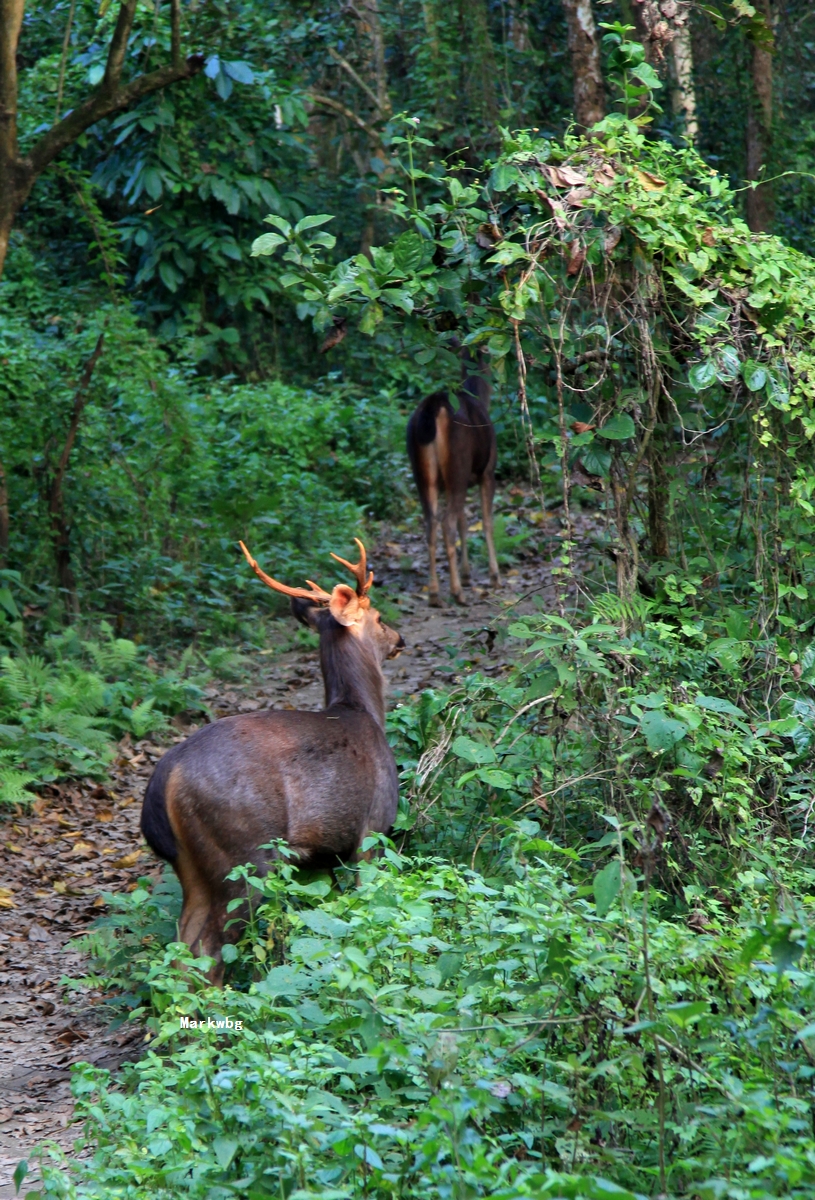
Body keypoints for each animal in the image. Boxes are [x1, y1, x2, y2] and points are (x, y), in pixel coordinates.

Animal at [144, 540, 408, 979]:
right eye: (378, 616)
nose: (400, 639)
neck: (362, 712)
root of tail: (166, 779)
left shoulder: (321, 858)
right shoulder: (371, 828)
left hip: (191, 867)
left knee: (182, 950)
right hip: (243, 854)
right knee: (209, 947)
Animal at [405, 350, 501, 604]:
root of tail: (433, 409)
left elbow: (464, 523)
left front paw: (467, 574)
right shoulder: (487, 472)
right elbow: (486, 522)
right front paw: (494, 576)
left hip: (422, 474)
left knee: (431, 523)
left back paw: (435, 593)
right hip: (457, 466)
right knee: (446, 522)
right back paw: (456, 592)